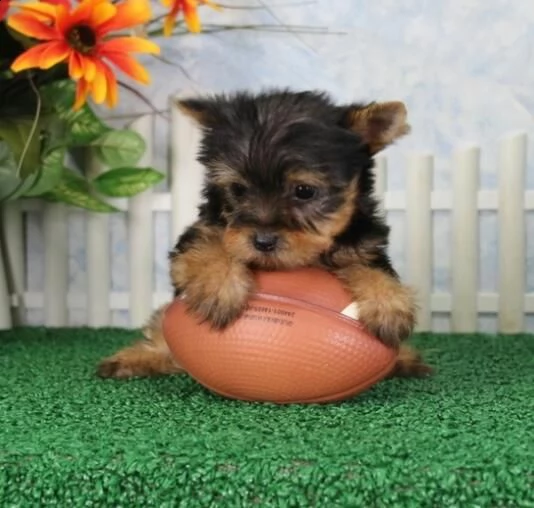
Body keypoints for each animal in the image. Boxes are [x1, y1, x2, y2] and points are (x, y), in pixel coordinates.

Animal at [98, 88, 434, 380]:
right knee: (160, 330)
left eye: (304, 191)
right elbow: (209, 246)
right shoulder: (201, 233)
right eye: (238, 189)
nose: (262, 241)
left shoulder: (364, 245)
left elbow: (373, 269)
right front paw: (218, 287)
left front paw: (388, 304)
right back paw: (139, 357)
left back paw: (404, 359)